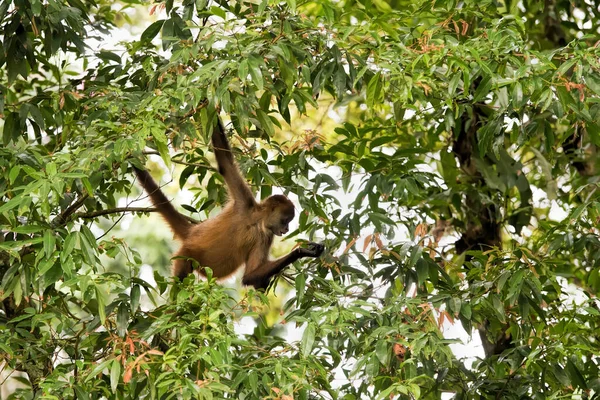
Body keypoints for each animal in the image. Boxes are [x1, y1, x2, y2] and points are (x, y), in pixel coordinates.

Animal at [134, 117, 326, 290]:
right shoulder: (244, 202)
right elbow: (225, 162)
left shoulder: (266, 235)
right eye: (286, 220)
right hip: (185, 255)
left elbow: (249, 277)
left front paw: (304, 251)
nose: (286, 229)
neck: (255, 221)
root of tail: (192, 232)